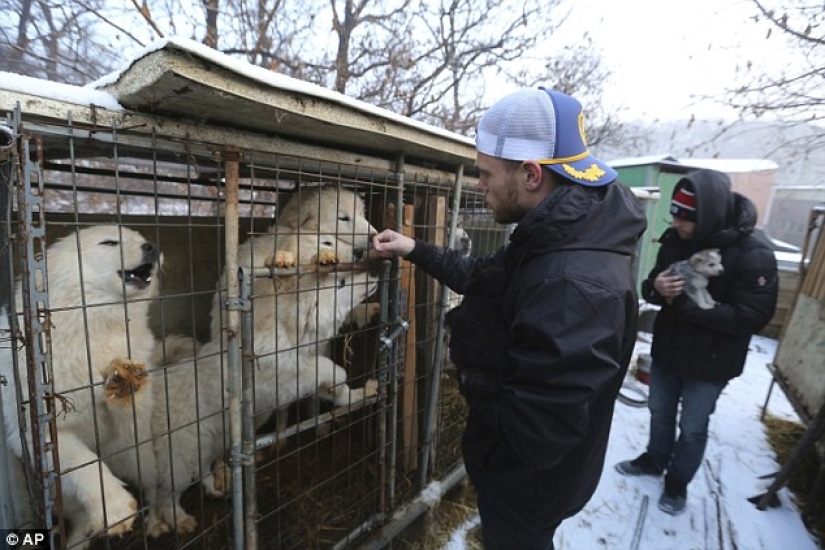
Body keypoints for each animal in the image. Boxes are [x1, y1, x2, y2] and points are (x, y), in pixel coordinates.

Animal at [0, 226, 163, 548]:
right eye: (109, 242)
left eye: (140, 239)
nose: (152, 247)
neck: (95, 327)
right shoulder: (47, 434)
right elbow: (88, 464)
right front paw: (113, 507)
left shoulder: (127, 426)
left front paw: (125, 386)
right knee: (81, 520)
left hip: (141, 460)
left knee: (154, 491)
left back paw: (161, 521)